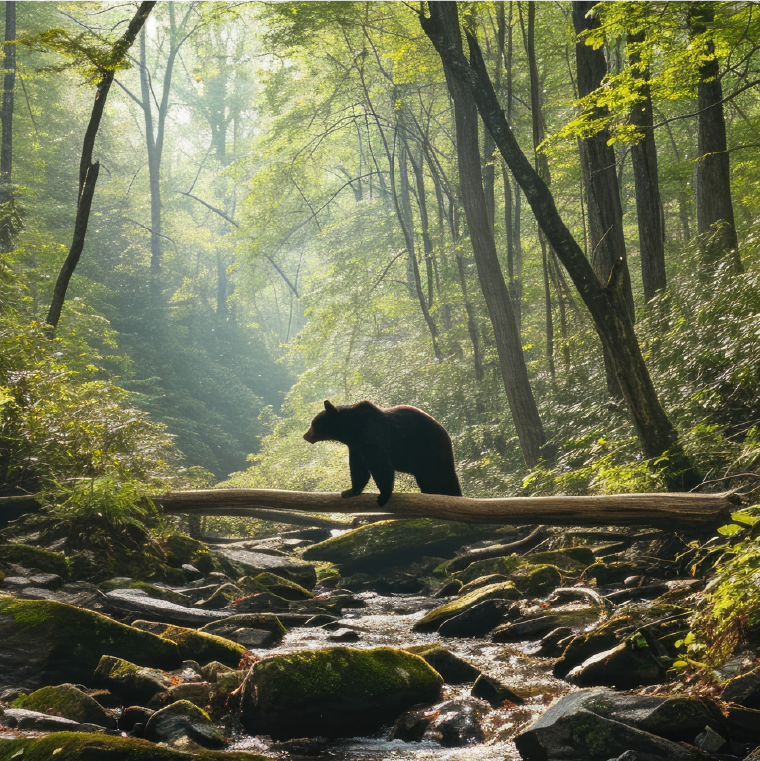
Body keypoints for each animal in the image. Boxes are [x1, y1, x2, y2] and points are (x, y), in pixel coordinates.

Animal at [302, 400, 462, 507]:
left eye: (312, 423)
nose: (305, 435)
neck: (352, 430)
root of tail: (447, 435)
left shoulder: (373, 435)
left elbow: (381, 465)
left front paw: (383, 496)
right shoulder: (356, 446)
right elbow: (359, 470)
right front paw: (349, 491)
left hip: (430, 451)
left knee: (441, 477)